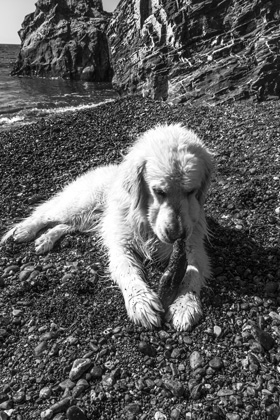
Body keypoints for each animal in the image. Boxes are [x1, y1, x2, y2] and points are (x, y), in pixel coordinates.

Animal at [1, 124, 213, 332]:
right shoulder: (121, 245)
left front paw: (185, 305)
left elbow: (192, 273)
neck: (146, 221)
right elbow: (128, 272)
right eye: (158, 191)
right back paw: (24, 231)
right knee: (44, 213)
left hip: (87, 219)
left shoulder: (193, 246)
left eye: (191, 191)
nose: (177, 234)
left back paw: (46, 239)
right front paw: (142, 304)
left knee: (64, 225)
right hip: (79, 205)